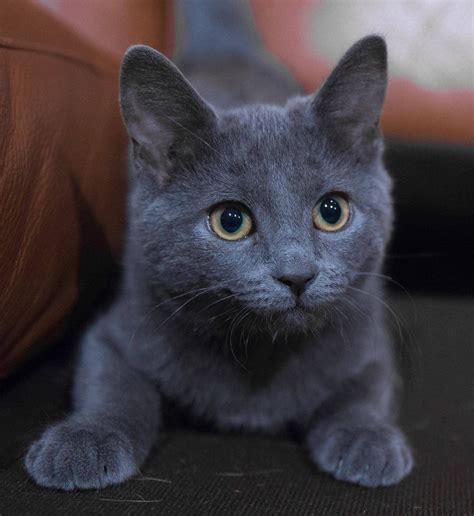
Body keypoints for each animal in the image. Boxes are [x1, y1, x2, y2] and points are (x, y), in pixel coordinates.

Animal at [25, 0, 412, 490]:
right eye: (230, 221)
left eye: (332, 211)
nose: (298, 274)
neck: (262, 355)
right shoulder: (115, 330)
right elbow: (114, 387)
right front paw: (84, 442)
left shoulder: (370, 336)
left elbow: (365, 389)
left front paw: (367, 438)